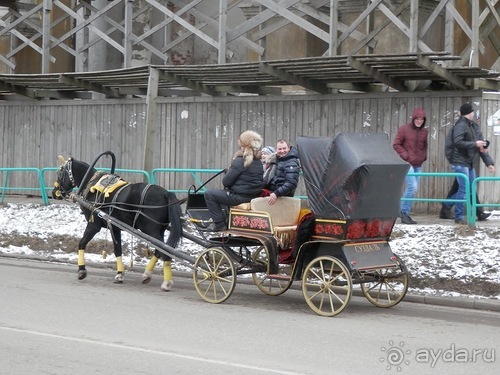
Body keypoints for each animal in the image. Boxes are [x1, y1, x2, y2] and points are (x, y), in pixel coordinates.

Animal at [52, 154, 184, 292]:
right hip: (159, 230)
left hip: (151, 230)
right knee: (160, 250)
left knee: (165, 250)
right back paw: (147, 275)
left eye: (60, 172)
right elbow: (117, 249)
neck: (92, 183)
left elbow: (82, 243)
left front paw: (81, 270)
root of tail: (166, 193)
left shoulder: (94, 225)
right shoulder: (114, 227)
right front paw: (120, 274)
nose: (54, 192)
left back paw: (166, 282)